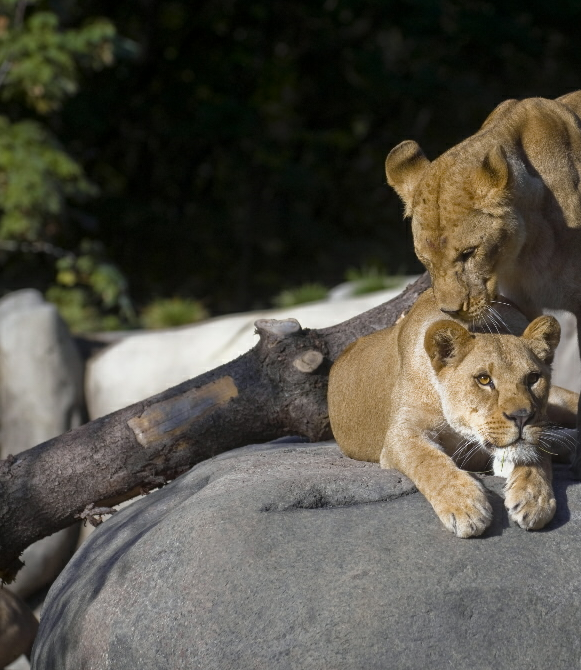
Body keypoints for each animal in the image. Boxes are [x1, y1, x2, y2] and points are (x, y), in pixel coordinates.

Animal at [326, 290, 576, 540]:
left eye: (533, 378)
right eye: (484, 379)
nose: (522, 416)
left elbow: (538, 456)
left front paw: (535, 498)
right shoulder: (401, 435)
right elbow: (429, 461)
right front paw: (464, 506)